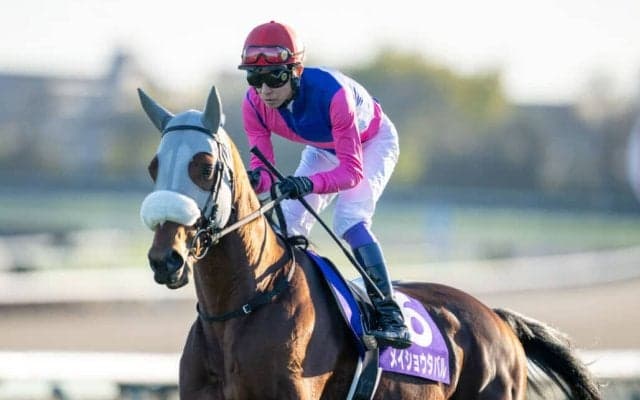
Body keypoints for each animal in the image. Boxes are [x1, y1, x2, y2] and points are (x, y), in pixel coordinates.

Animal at [137, 86, 601, 399]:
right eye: (153, 166)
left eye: (204, 166)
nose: (166, 259)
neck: (244, 304)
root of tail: (497, 319)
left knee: (354, 218)